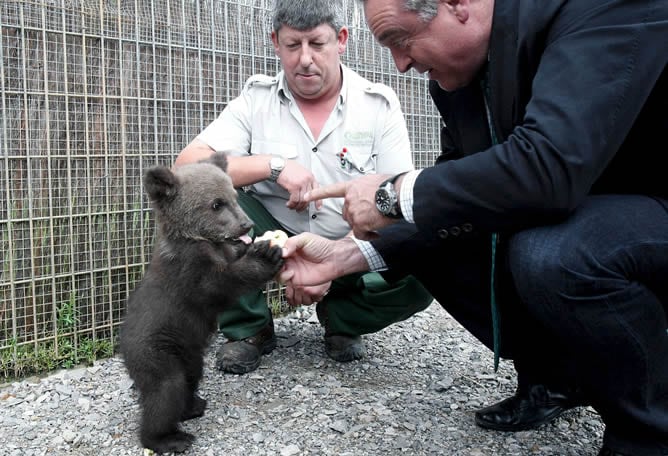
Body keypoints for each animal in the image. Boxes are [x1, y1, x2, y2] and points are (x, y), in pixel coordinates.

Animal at [120, 152, 282, 452]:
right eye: (216, 204)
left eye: (233, 196)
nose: (247, 224)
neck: (198, 239)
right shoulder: (189, 272)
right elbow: (219, 285)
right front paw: (265, 255)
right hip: (157, 351)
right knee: (166, 391)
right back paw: (169, 438)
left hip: (190, 353)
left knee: (190, 378)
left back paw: (193, 405)